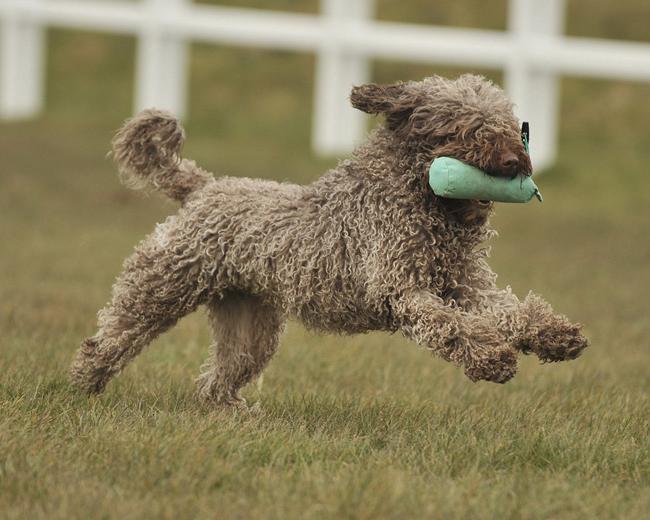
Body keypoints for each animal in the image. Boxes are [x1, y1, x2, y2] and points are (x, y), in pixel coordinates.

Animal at [71, 74, 588, 406]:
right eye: (462, 127)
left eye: (508, 121)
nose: (514, 161)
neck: (424, 204)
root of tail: (205, 187)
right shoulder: (401, 290)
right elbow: (450, 326)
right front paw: (491, 358)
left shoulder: (466, 286)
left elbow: (512, 311)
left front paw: (555, 335)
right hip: (159, 287)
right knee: (110, 339)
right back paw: (84, 386)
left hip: (250, 325)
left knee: (219, 378)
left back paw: (231, 413)